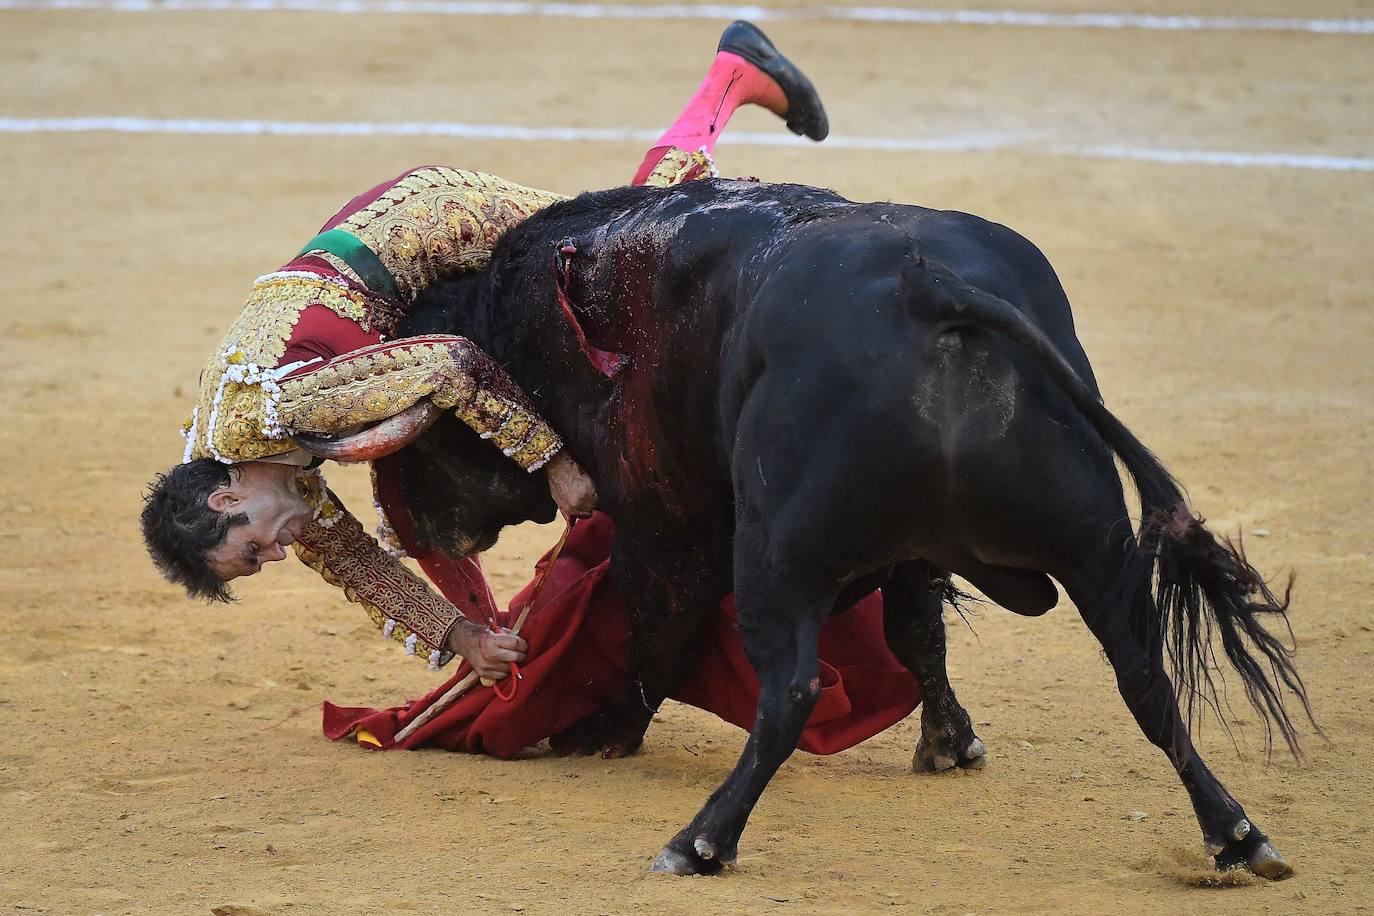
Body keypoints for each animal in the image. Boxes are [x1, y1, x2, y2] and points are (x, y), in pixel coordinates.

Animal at [306, 177, 1313, 878]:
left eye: (430, 435)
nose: (415, 527)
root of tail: (931, 291)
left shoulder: (666, 529)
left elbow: (654, 636)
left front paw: (598, 730)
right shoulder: (916, 553)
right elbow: (917, 637)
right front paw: (950, 742)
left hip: (773, 559)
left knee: (786, 690)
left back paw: (700, 843)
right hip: (1095, 539)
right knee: (1146, 677)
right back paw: (1237, 836)